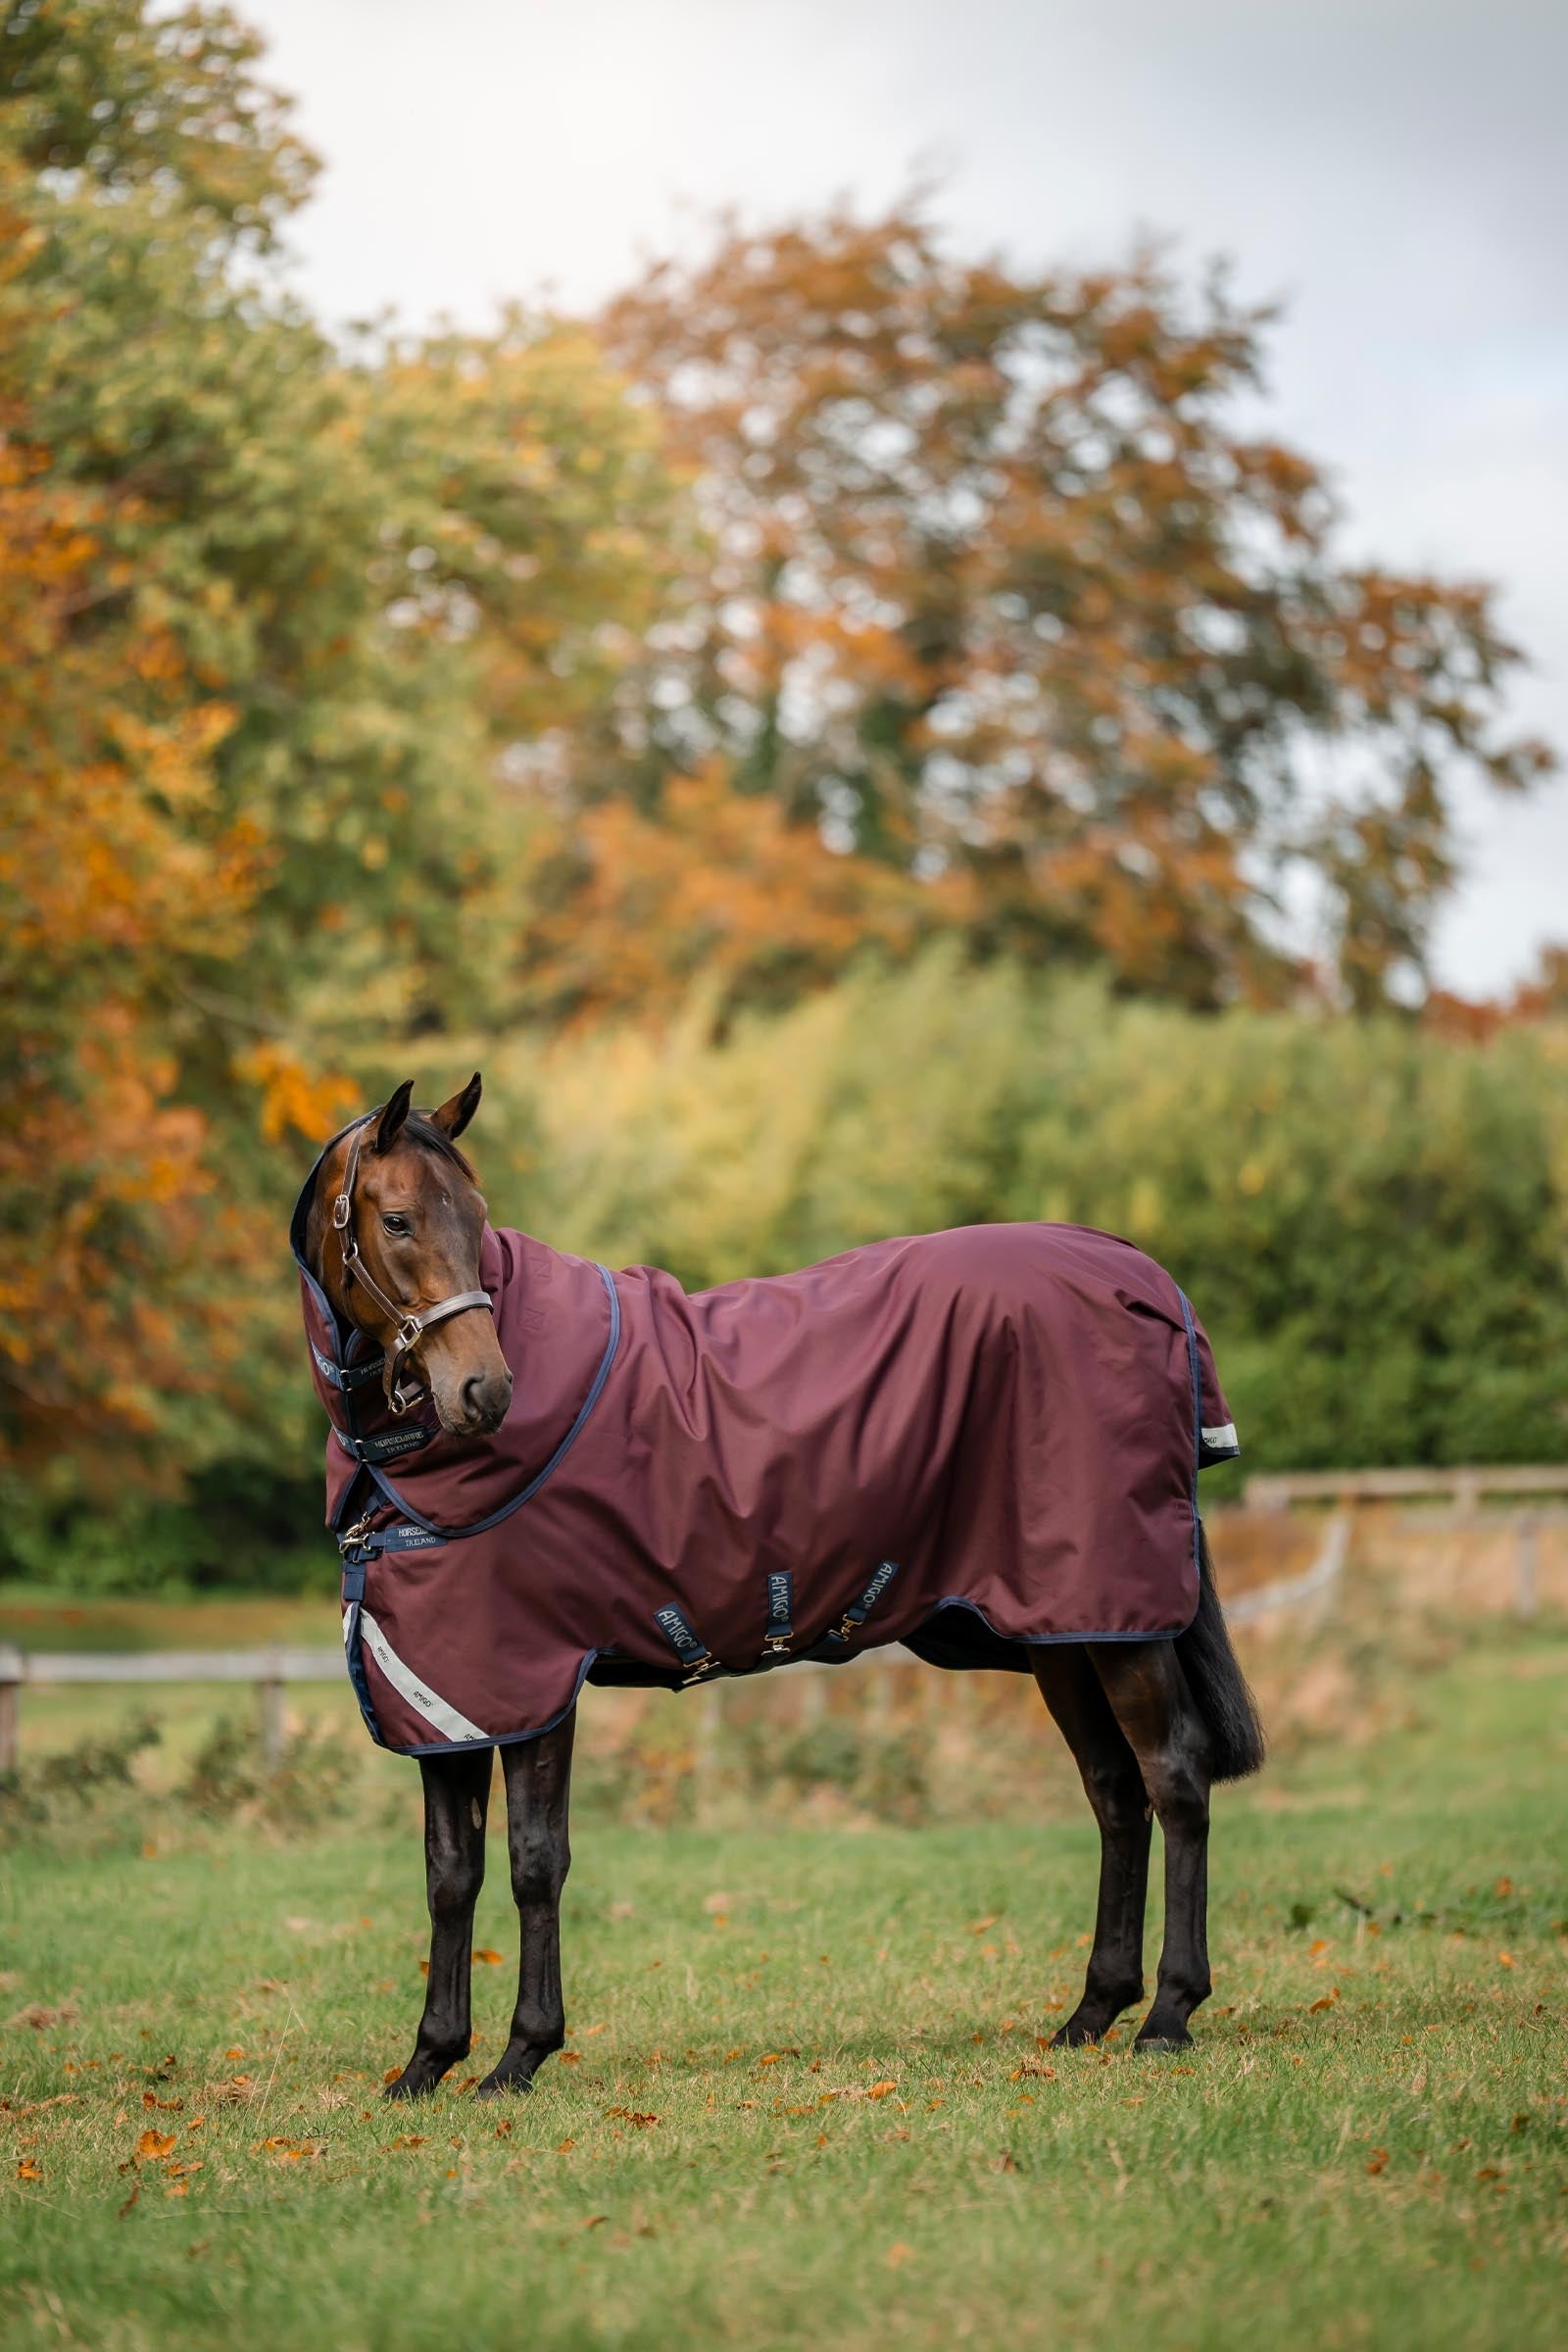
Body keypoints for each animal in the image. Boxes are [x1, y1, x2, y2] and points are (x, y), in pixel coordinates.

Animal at [296, 1076, 1264, 2099]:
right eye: (399, 1219)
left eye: (478, 1219)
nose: (485, 1391)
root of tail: (1142, 1275)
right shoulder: (445, 1698)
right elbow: (450, 1875)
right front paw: (426, 2063)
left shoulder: (531, 1682)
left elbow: (531, 1863)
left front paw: (521, 2055)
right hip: (1065, 1631)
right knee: (1115, 1790)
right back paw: (1090, 2015)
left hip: (1117, 1622)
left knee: (1175, 1776)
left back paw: (1168, 2014)